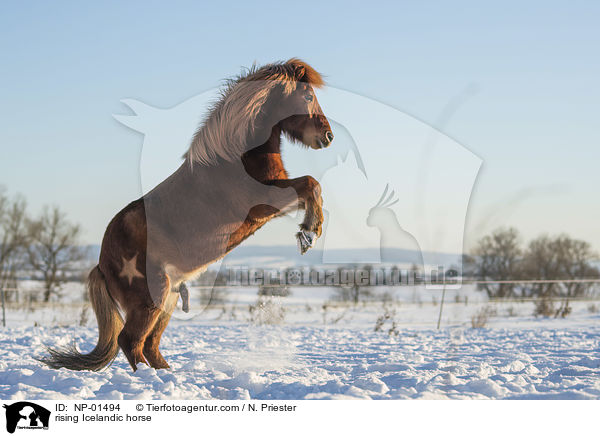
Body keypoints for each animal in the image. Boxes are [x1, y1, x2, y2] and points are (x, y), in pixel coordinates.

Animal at [42, 58, 332, 372]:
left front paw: (309, 231)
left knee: (150, 346)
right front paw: (309, 233)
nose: (328, 137)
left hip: (167, 301)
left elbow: (312, 188)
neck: (235, 157)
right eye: (307, 96)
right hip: (150, 300)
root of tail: (101, 265)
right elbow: (311, 183)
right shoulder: (266, 204)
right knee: (131, 342)